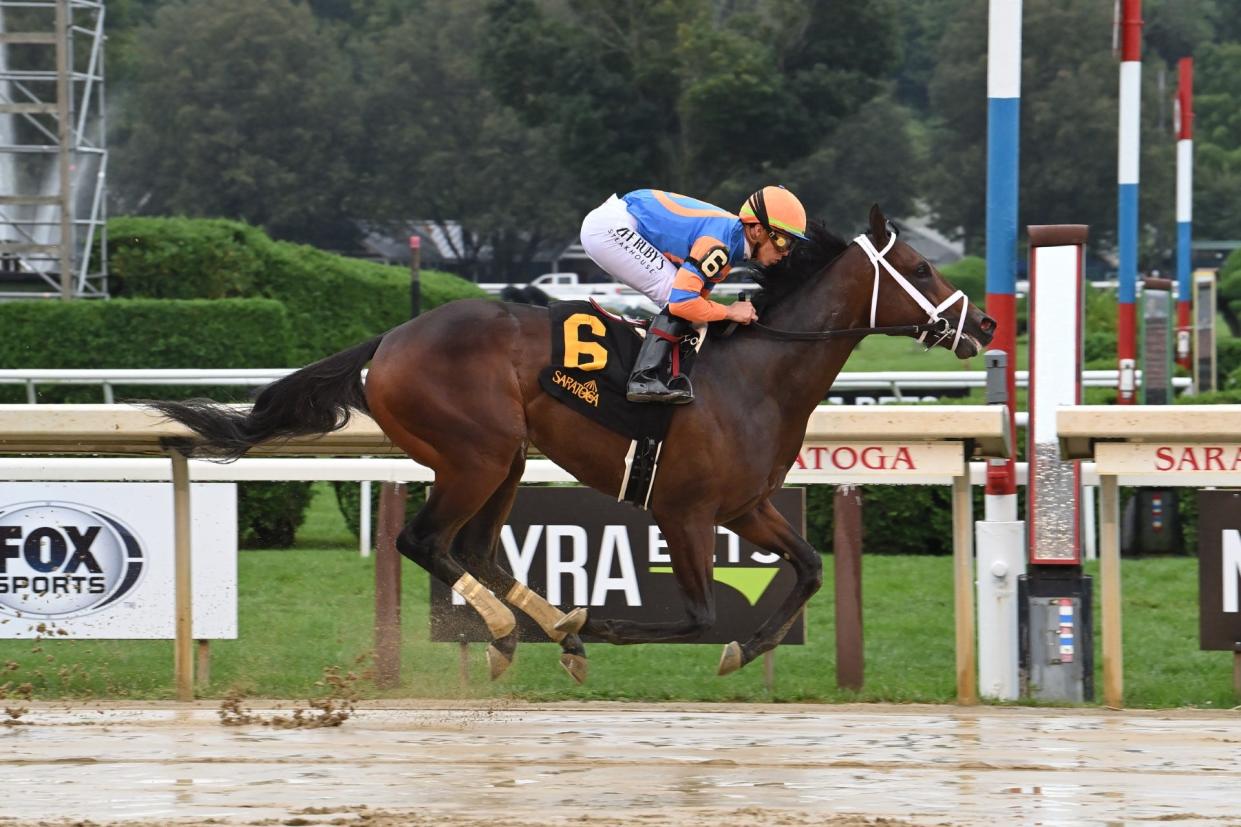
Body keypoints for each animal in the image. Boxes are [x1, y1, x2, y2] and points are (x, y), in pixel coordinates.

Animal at [147, 206, 997, 680]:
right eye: (920, 267)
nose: (984, 322)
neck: (753, 376)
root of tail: (389, 337)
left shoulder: (746, 506)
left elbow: (811, 567)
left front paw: (746, 649)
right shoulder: (685, 513)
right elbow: (695, 615)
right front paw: (607, 626)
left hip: (506, 458)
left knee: (473, 546)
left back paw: (543, 625)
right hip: (476, 454)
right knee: (422, 540)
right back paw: (514, 630)